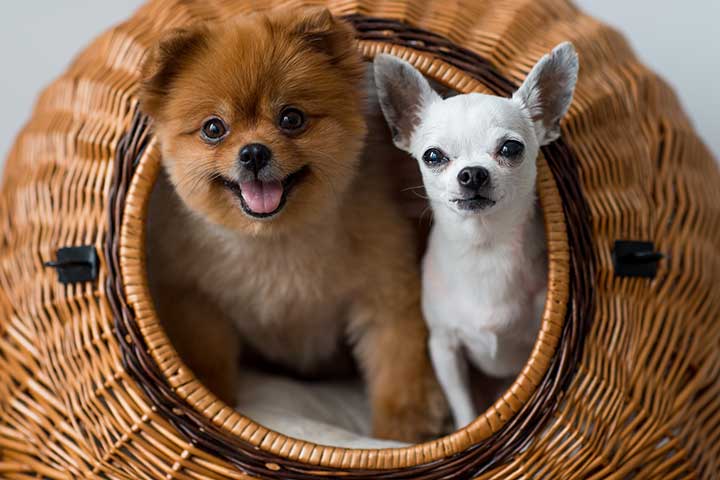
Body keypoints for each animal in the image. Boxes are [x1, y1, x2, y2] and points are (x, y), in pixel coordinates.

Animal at [139, 8, 450, 442]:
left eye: (291, 118)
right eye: (213, 128)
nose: (253, 152)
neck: (277, 240)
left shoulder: (386, 296)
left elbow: (398, 369)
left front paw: (401, 432)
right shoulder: (193, 301)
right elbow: (208, 360)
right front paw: (214, 403)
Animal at [374, 43, 576, 430]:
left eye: (511, 149)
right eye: (433, 156)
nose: (472, 174)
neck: (484, 248)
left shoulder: (528, 355)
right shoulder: (444, 348)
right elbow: (464, 406)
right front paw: (467, 427)